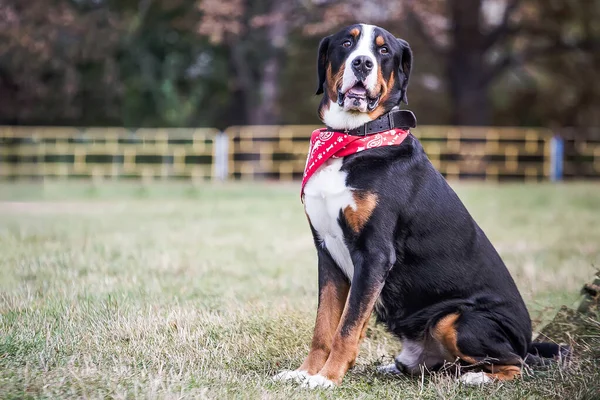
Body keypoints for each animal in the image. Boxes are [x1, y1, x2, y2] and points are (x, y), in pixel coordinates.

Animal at [274, 23, 564, 390]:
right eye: (346, 43)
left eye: (383, 50)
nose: (362, 63)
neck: (353, 138)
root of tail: (526, 339)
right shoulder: (327, 251)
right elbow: (323, 326)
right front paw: (305, 372)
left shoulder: (374, 253)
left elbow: (347, 328)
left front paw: (326, 379)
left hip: (457, 319)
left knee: (516, 363)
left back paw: (476, 377)